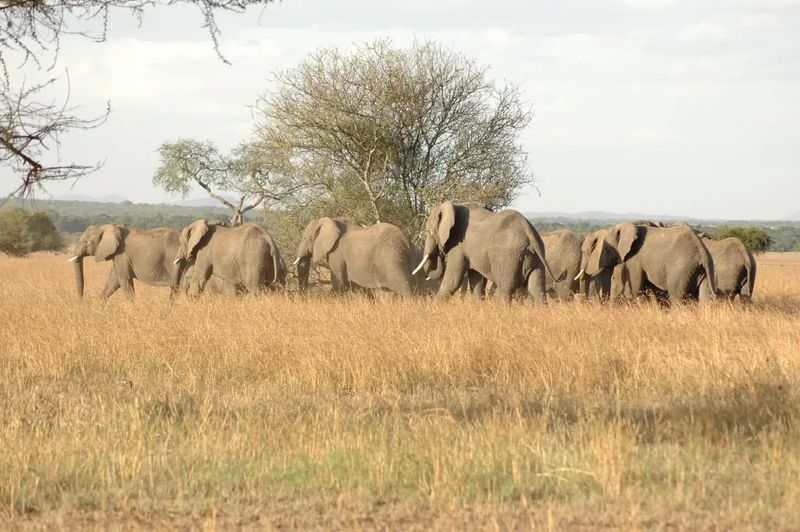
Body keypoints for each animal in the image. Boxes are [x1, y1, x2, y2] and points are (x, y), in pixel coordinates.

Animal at [290, 218, 422, 298]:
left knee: (406, 289)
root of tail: (406, 241)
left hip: (392, 260)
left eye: (304, 238)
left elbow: (339, 284)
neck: (330, 221)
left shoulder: (336, 253)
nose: (304, 295)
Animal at [416, 201, 560, 302]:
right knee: (537, 289)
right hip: (533, 257)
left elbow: (452, 281)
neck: (454, 205)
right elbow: (476, 280)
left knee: (505, 290)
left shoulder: (459, 245)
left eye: (428, 232)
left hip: (508, 258)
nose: (440, 249)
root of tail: (529, 233)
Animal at [576, 221, 720, 304]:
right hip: (703, 269)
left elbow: (634, 287)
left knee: (677, 297)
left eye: (606, 248)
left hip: (681, 267)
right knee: (704, 297)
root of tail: (701, 250)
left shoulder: (634, 258)